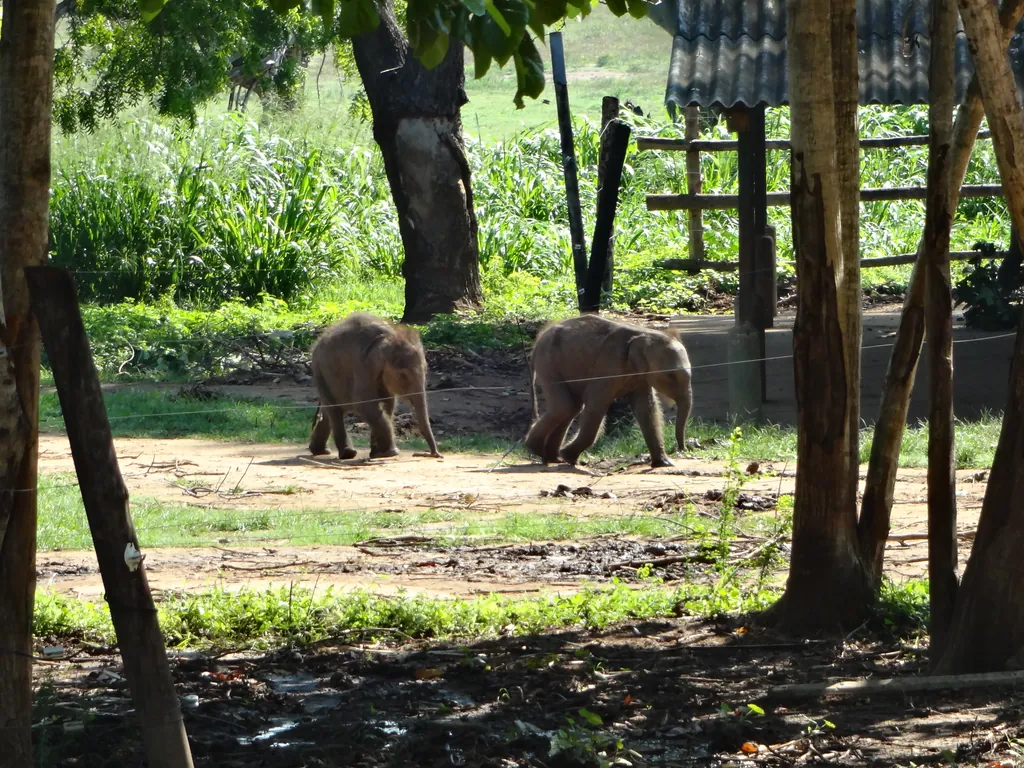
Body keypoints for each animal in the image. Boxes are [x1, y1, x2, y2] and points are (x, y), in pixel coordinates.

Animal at [308, 312, 442, 460]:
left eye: (426, 370)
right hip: (319, 371)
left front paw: (378, 454)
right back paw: (348, 453)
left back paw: (320, 451)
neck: (388, 336)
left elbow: (388, 404)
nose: (434, 454)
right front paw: (391, 452)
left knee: (328, 412)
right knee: (334, 410)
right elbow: (365, 404)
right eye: (403, 375)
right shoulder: (362, 366)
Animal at [525, 314, 692, 468]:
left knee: (572, 407)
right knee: (565, 407)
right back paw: (539, 450)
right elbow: (596, 404)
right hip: (548, 362)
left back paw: (553, 458)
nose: (682, 448)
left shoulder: (640, 376)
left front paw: (664, 463)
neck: (646, 333)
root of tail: (538, 340)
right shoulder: (607, 365)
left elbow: (646, 408)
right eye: (671, 375)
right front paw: (569, 457)